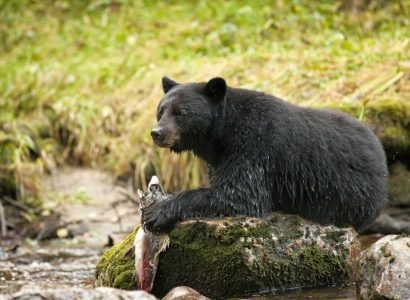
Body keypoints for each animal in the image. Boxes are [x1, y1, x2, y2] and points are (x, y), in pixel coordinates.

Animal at [143, 77, 388, 232]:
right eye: (160, 111)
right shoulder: (221, 158)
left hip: (353, 194)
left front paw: (157, 212)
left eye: (181, 112)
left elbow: (241, 194)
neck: (223, 133)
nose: (157, 133)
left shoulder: (254, 147)